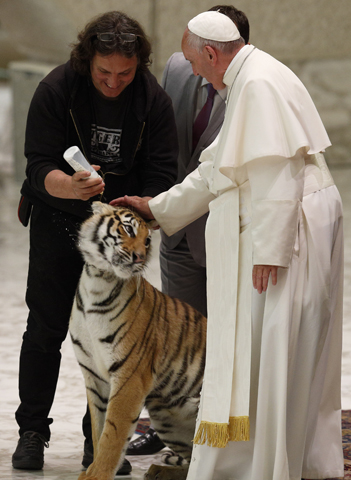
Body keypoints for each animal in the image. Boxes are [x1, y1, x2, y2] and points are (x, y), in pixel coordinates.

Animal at [69, 202, 206, 480]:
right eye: (128, 229)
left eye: (147, 240)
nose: (140, 258)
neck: (98, 279)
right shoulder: (94, 377)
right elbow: (98, 430)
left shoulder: (130, 376)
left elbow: (113, 434)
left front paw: (97, 475)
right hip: (166, 416)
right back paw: (158, 470)